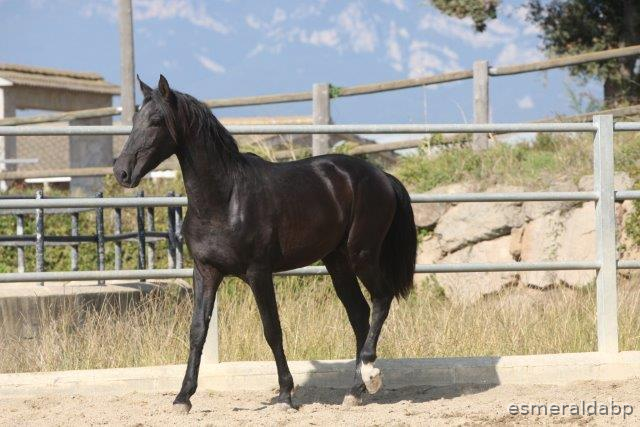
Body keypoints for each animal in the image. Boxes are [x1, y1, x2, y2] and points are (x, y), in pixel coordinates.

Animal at [113, 75, 417, 413]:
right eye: (135, 120)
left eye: (156, 121)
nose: (121, 172)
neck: (224, 199)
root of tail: (382, 176)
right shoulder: (205, 272)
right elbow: (197, 331)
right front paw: (183, 398)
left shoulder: (258, 273)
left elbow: (272, 330)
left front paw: (285, 395)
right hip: (337, 262)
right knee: (359, 314)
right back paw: (355, 390)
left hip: (362, 254)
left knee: (381, 300)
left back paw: (371, 375)